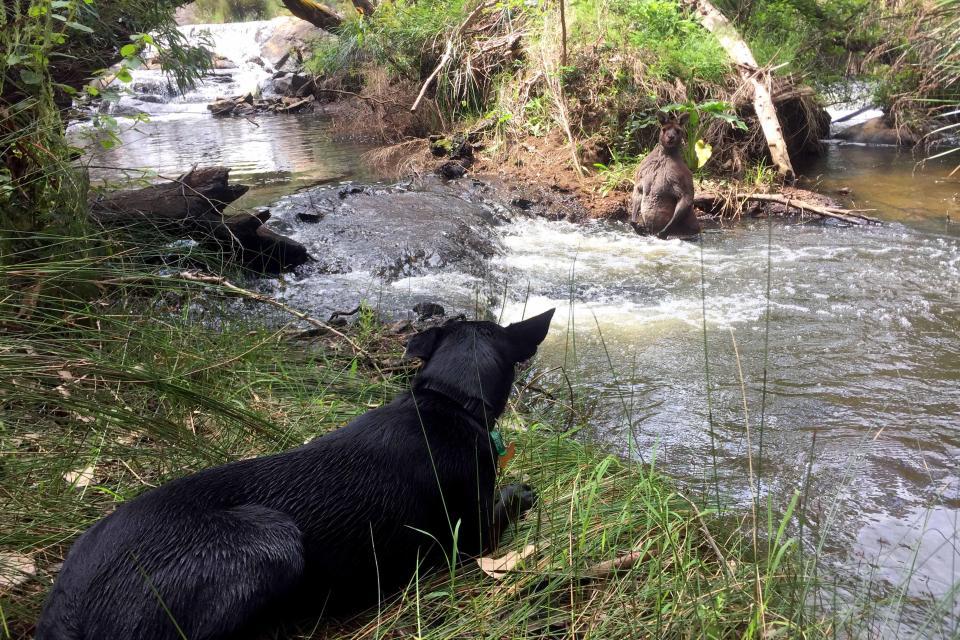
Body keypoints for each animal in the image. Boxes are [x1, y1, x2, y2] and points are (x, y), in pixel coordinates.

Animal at [35, 308, 556, 636]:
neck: (448, 400)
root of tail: (68, 605)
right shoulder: (473, 537)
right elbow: (513, 500)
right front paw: (523, 491)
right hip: (274, 541)